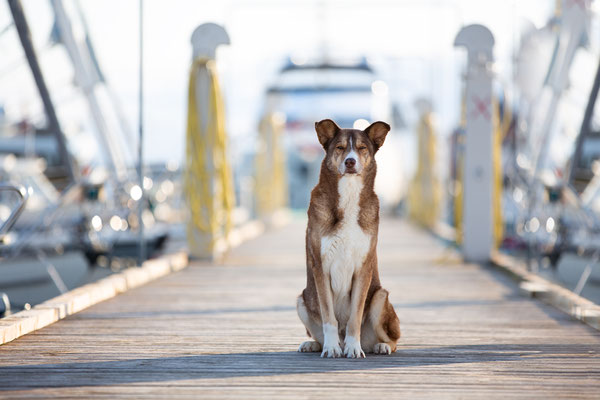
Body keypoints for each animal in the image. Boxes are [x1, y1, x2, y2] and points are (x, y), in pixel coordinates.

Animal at [298, 119, 400, 360]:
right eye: (340, 147)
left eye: (362, 148)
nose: (350, 161)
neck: (349, 193)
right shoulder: (320, 267)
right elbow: (329, 318)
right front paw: (331, 348)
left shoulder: (363, 267)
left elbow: (355, 315)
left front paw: (354, 347)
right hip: (302, 299)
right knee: (319, 332)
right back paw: (315, 344)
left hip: (380, 296)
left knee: (394, 340)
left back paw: (379, 346)